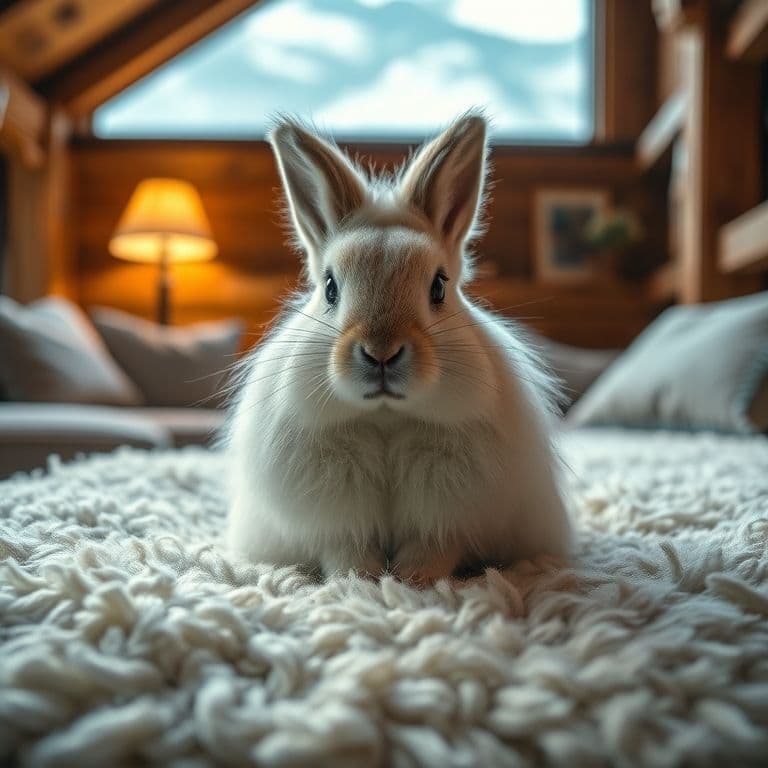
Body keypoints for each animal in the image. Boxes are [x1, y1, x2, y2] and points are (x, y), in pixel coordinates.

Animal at [225, 111, 572, 583]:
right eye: (330, 287)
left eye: (439, 286)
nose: (381, 352)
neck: (386, 418)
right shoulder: (335, 520)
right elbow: (345, 549)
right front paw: (361, 580)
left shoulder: (448, 516)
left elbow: (434, 548)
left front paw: (412, 581)